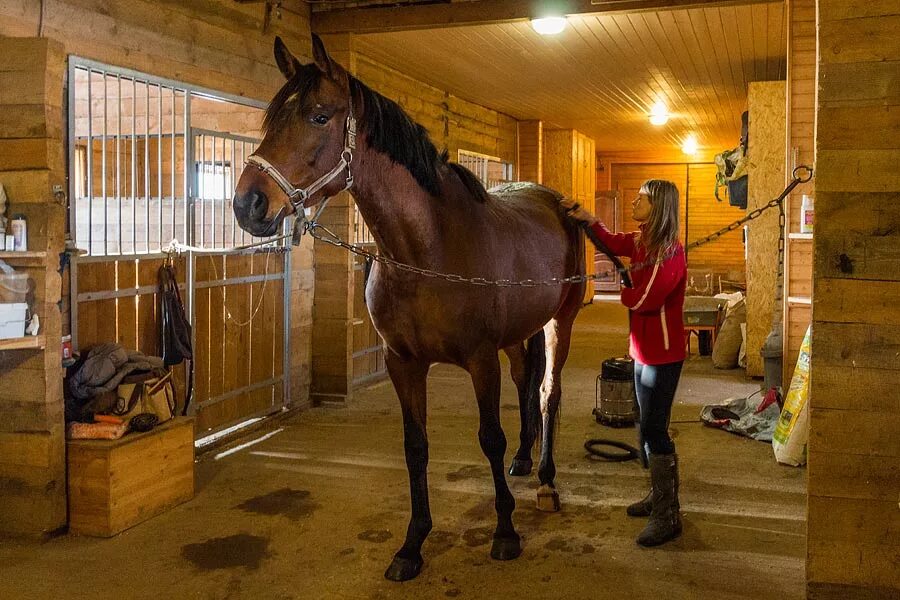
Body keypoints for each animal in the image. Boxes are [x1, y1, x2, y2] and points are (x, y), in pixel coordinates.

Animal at [234, 34, 620, 580]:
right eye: (271, 120)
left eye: (319, 116)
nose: (248, 205)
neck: (427, 250)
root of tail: (558, 203)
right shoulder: (403, 362)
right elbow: (415, 447)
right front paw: (412, 544)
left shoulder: (480, 360)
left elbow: (490, 436)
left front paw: (505, 531)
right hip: (518, 334)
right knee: (526, 380)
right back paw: (525, 461)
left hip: (556, 323)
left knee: (548, 392)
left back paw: (545, 480)